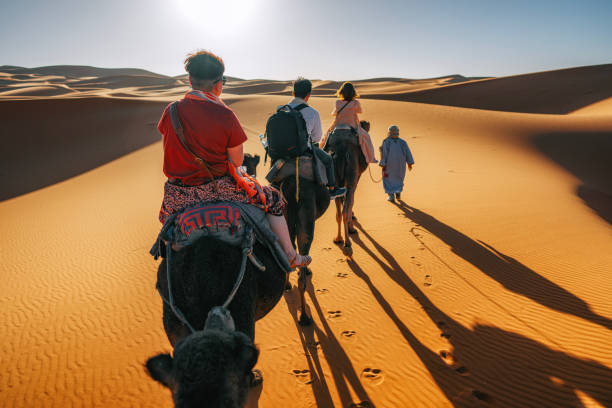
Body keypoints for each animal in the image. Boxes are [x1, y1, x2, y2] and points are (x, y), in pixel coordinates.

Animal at [326, 123, 368, 255]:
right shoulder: (357, 176)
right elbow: (351, 201)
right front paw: (352, 228)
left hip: (334, 174)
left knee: (339, 211)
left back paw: (339, 239)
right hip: (352, 171)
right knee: (345, 207)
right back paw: (348, 244)